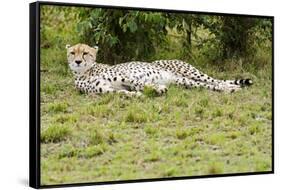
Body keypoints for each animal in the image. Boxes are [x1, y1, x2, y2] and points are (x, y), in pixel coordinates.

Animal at [65, 43, 252, 95]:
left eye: (86, 53)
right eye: (73, 52)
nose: (77, 62)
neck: (86, 72)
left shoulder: (127, 77)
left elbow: (141, 84)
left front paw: (157, 89)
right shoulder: (105, 89)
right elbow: (122, 93)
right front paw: (136, 95)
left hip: (190, 72)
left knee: (216, 81)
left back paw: (232, 86)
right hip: (184, 81)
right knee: (209, 86)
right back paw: (231, 89)